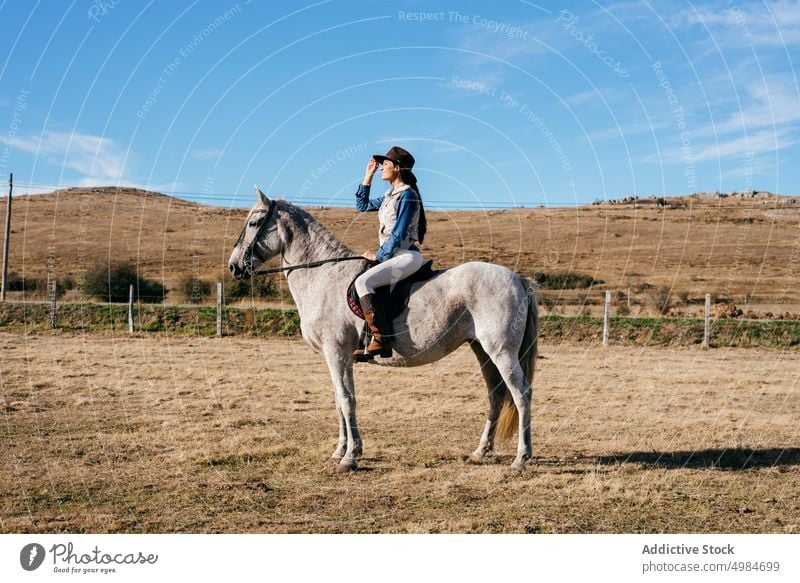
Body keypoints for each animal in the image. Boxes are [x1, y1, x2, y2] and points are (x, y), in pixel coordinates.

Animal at [227, 189, 536, 472]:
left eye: (254, 223)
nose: (233, 267)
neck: (324, 276)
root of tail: (518, 278)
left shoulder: (336, 352)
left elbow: (347, 400)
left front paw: (349, 458)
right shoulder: (337, 357)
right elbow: (340, 400)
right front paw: (340, 452)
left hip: (501, 351)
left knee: (521, 394)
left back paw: (521, 458)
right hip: (481, 349)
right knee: (496, 394)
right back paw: (480, 452)